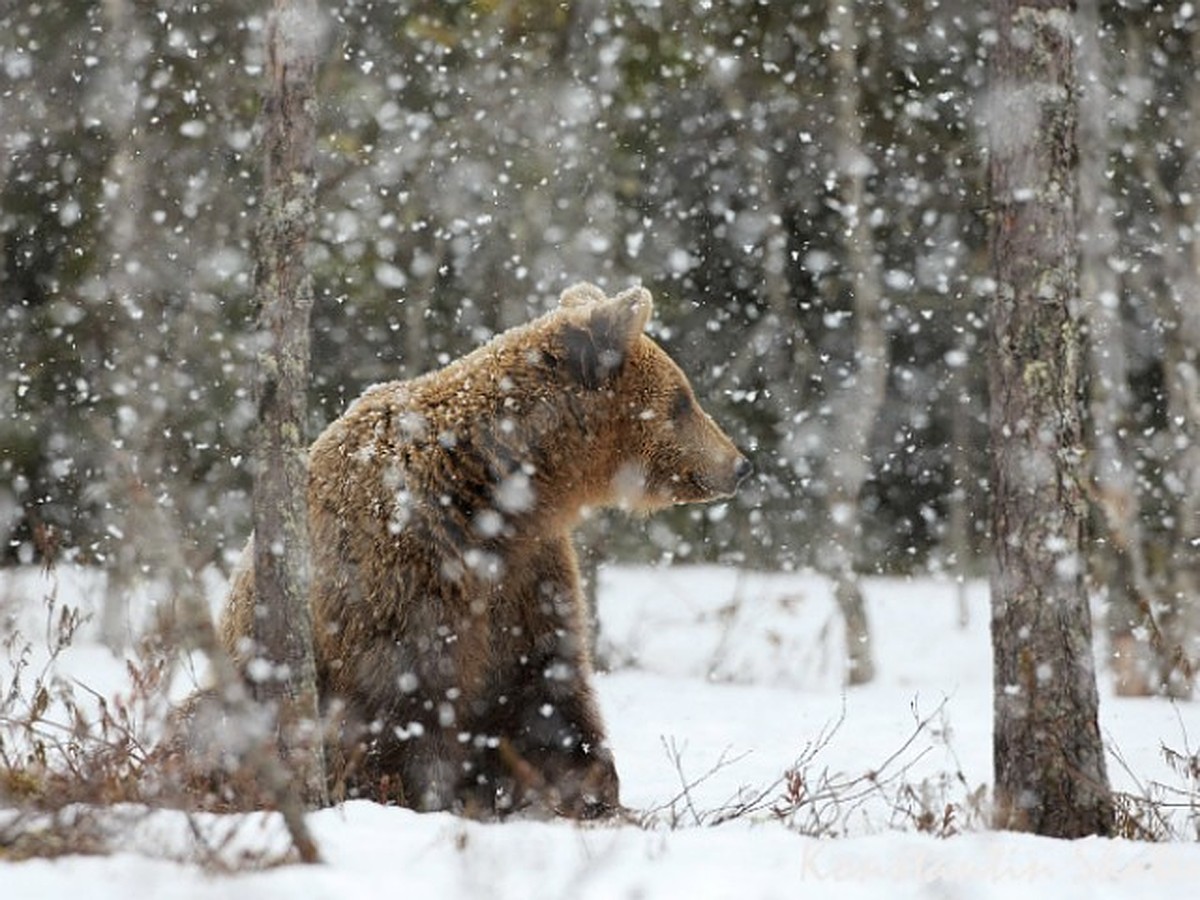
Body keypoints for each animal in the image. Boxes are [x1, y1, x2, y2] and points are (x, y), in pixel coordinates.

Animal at [217, 285, 744, 820]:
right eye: (682, 400)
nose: (739, 464)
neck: (496, 492)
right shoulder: (404, 574)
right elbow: (408, 701)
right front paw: (425, 794)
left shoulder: (527, 570)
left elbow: (546, 682)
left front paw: (589, 788)